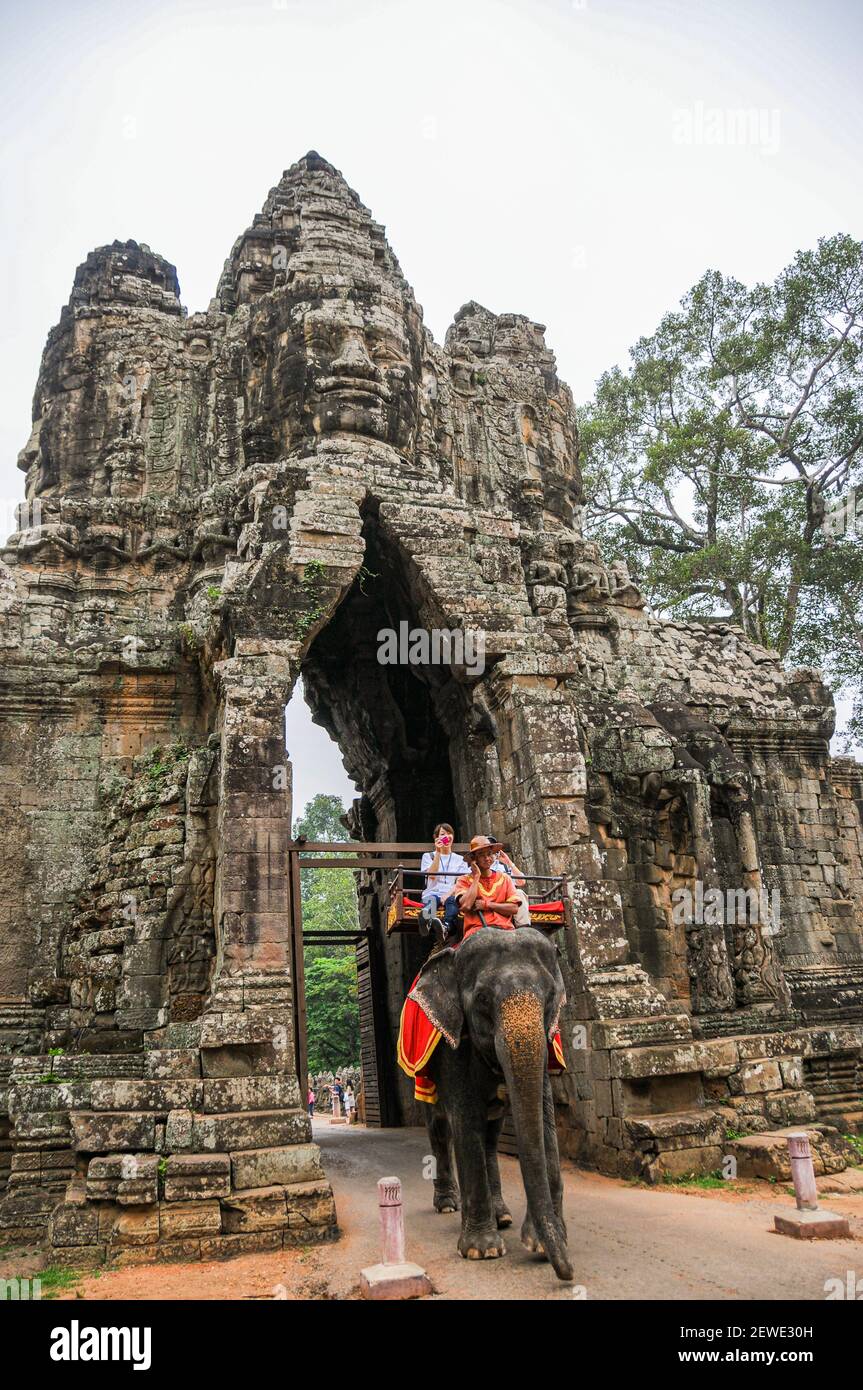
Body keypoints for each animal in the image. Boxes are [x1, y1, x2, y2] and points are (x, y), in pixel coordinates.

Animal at [408, 922, 572, 1278]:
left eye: (550, 997)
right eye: (482, 999)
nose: (567, 1273)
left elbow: (544, 1119)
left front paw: (542, 1243)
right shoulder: (453, 1044)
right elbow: (465, 1121)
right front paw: (482, 1250)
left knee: (491, 1137)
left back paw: (503, 1216)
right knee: (439, 1128)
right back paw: (447, 1205)